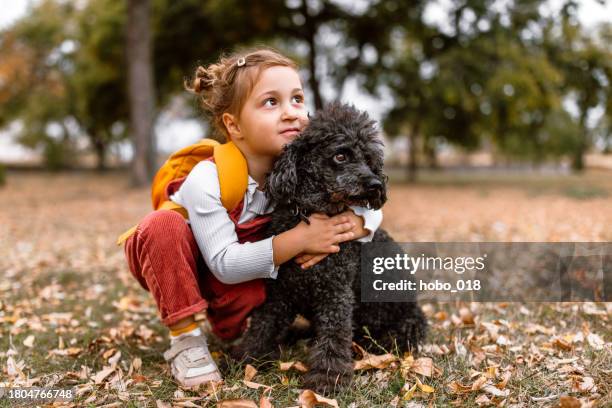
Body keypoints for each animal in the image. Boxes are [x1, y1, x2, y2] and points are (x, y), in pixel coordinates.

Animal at [232, 100, 428, 394]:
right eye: (340, 156)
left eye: (368, 159)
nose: (375, 184)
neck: (314, 213)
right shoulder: (279, 294)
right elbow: (261, 328)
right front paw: (247, 360)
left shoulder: (335, 295)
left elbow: (334, 338)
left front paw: (328, 379)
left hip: (403, 325)